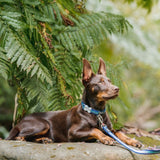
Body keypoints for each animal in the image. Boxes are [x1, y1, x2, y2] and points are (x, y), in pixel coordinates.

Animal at [5, 57, 141, 148]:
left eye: (110, 81)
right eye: (100, 82)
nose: (117, 89)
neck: (96, 112)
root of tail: (20, 121)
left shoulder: (109, 129)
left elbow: (119, 132)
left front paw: (132, 141)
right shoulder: (73, 132)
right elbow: (94, 130)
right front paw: (105, 138)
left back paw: (44, 139)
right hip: (43, 124)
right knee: (18, 136)